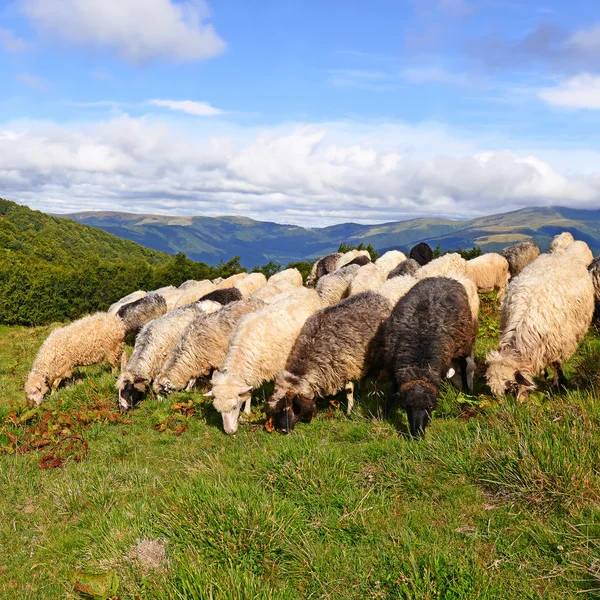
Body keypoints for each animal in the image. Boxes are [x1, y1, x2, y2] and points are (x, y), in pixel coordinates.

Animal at [205, 288, 324, 434]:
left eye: (234, 406)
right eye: (218, 410)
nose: (229, 431)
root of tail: (309, 290)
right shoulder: (252, 372)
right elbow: (249, 392)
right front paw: (246, 413)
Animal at [268, 290, 392, 432]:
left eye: (288, 408)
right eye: (275, 411)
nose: (281, 430)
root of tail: (374, 293)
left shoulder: (344, 368)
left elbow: (349, 390)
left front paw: (349, 412)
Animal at [384, 278, 478, 438]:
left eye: (429, 407)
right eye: (407, 407)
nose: (417, 435)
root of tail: (444, 278)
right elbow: (393, 389)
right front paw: (384, 414)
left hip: (463, 341)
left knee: (463, 363)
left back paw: (465, 388)